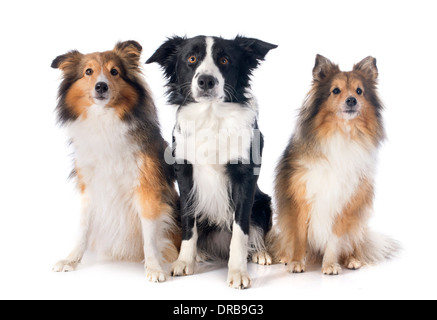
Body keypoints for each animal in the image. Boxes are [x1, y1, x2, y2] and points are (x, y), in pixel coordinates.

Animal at [50, 40, 180, 282]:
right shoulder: (90, 187)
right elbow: (82, 229)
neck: (104, 120)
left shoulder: (146, 188)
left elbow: (149, 235)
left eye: (114, 72)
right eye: (88, 71)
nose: (101, 87)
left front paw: (154, 267)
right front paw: (71, 260)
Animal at [146, 35, 276, 290]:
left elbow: (240, 230)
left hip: (263, 202)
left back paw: (260, 253)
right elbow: (189, 222)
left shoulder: (245, 176)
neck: (211, 116)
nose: (206, 80)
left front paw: (238, 272)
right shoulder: (184, 172)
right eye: (191, 59)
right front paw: (185, 261)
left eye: (225, 60)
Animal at [274, 55, 396, 276]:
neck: (341, 133)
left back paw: (353, 260)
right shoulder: (301, 198)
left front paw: (330, 265)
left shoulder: (345, 202)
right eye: (336, 91)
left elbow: (335, 238)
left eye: (359, 91)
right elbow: (299, 235)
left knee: (353, 244)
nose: (351, 100)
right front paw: (296, 262)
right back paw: (286, 258)